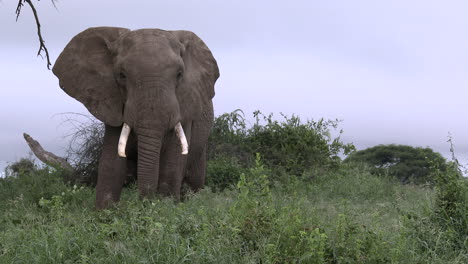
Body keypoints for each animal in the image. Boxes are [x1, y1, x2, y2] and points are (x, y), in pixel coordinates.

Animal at [52, 26, 220, 208]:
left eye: (179, 74)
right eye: (122, 75)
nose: (146, 203)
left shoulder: (186, 106)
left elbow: (173, 163)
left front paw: (165, 207)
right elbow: (111, 162)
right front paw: (106, 211)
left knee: (194, 179)